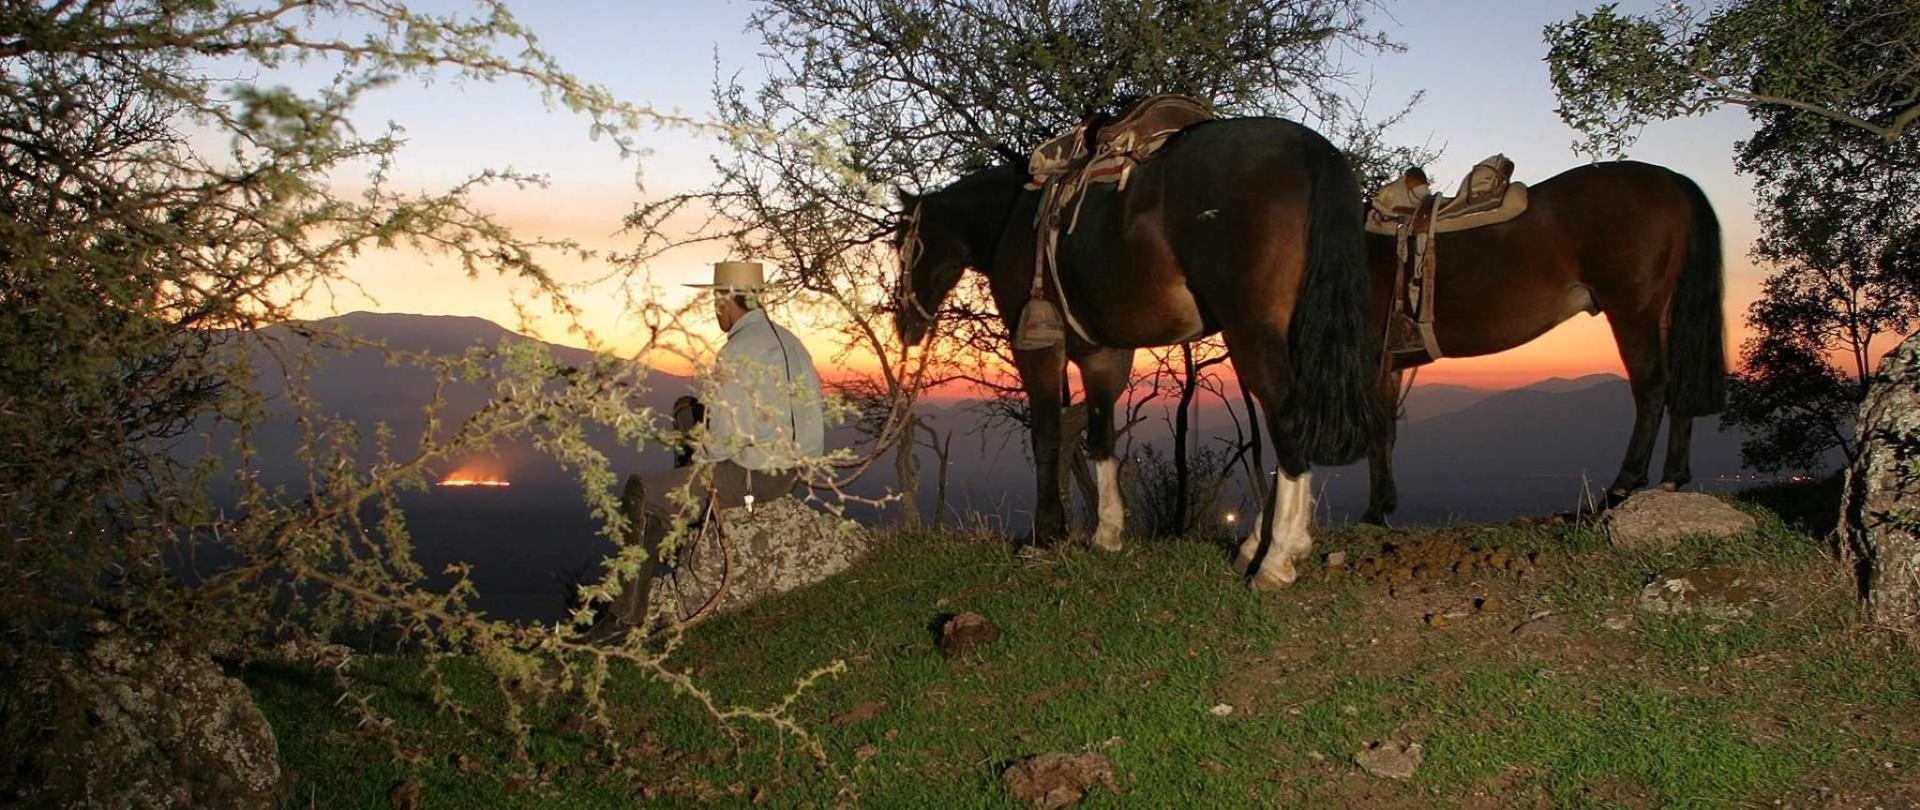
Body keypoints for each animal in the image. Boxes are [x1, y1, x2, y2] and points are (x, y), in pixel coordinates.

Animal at [894, 117, 1380, 588]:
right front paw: (1106, 534)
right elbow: (1101, 436)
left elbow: (1046, 434)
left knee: (1289, 422)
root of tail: (1311, 148)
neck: (1013, 218)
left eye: (904, 247)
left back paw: (1276, 560)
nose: (904, 324)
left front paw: (1045, 535)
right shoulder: (1102, 355)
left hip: (1252, 333)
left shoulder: (1037, 347)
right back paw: (1257, 546)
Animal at [1357, 160, 1727, 525]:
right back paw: (1672, 479)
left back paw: (1617, 491)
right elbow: (1387, 431)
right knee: (1680, 384)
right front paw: (1382, 507)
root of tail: (1672, 178)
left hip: (1633, 312)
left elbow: (1376, 432)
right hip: (1665, 316)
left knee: (1651, 388)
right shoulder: (1388, 365)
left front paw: (1373, 513)